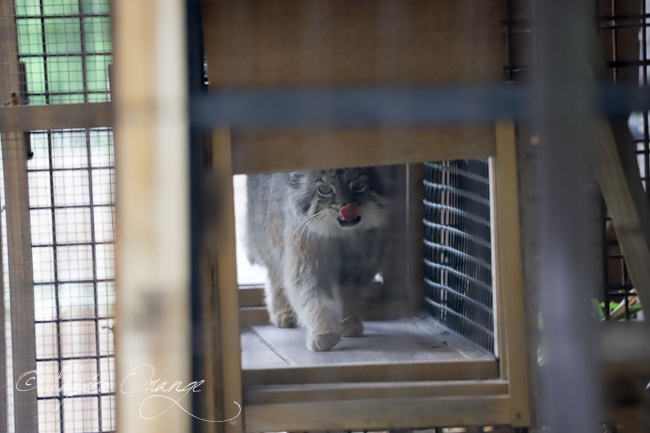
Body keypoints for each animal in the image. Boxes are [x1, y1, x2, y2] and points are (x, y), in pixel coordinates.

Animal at [246, 167, 392, 350]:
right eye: (324, 189)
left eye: (359, 184)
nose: (346, 207)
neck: (341, 235)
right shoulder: (305, 267)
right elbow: (315, 301)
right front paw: (324, 332)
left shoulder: (358, 266)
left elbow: (349, 296)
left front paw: (348, 322)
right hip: (270, 241)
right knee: (274, 276)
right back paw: (282, 313)